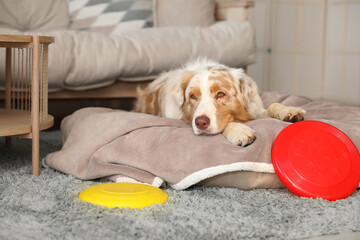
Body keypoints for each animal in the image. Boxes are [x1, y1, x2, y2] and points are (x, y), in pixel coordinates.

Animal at [134, 59, 306, 146]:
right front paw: (239, 130)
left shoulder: (255, 108)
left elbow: (272, 105)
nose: (201, 123)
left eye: (220, 94)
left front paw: (289, 111)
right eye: (192, 96)